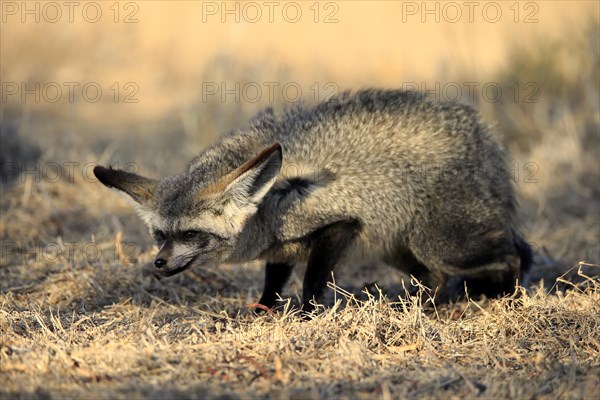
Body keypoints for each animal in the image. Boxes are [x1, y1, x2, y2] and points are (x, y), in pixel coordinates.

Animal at [95, 89, 536, 314]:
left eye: (190, 234)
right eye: (159, 235)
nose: (158, 263)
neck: (269, 204)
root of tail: (484, 135)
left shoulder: (339, 225)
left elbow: (311, 280)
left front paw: (307, 314)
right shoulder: (283, 246)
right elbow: (273, 282)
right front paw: (264, 309)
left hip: (442, 245)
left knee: (510, 254)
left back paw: (506, 296)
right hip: (401, 250)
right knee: (436, 279)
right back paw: (418, 307)